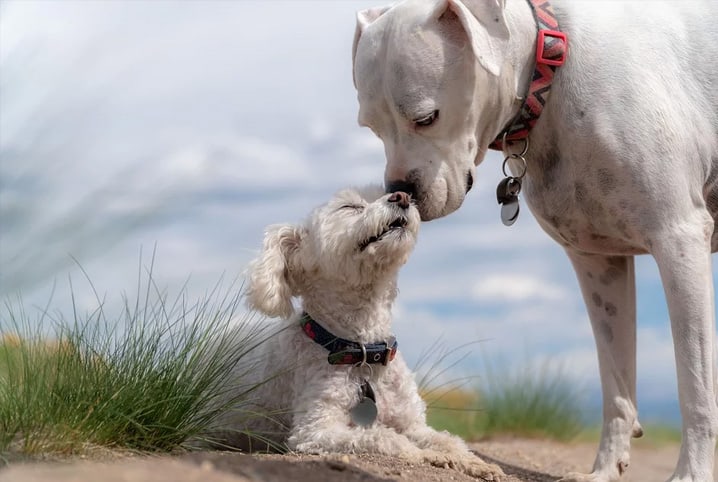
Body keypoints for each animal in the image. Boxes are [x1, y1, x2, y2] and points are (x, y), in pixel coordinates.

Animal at [219, 186, 506, 480]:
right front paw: (427, 455)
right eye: (350, 207)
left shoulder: (413, 424)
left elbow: (448, 440)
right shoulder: (315, 430)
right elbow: (385, 437)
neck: (364, 351)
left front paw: (476, 463)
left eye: (384, 193)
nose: (402, 196)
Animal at [354, 0, 718, 482]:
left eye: (425, 117)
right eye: (371, 127)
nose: (399, 191)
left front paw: (692, 473)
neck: (550, 71)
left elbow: (695, 384)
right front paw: (604, 469)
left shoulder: (679, 240)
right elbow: (616, 382)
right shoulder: (598, 263)